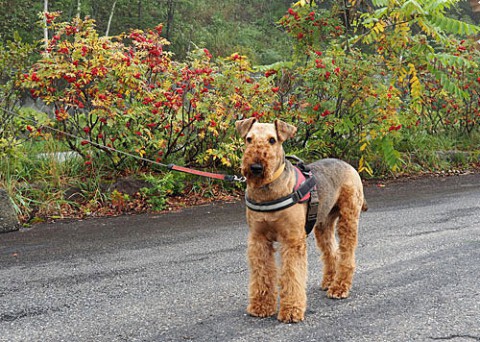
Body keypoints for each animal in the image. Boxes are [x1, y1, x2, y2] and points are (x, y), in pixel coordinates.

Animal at [236, 117, 368, 324]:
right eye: (249, 139)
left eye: (272, 140)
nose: (256, 167)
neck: (267, 190)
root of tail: (348, 165)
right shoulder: (258, 240)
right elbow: (262, 274)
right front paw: (261, 306)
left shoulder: (292, 240)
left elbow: (292, 275)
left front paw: (291, 310)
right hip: (323, 224)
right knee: (332, 253)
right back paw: (329, 281)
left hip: (348, 220)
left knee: (346, 255)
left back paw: (339, 287)